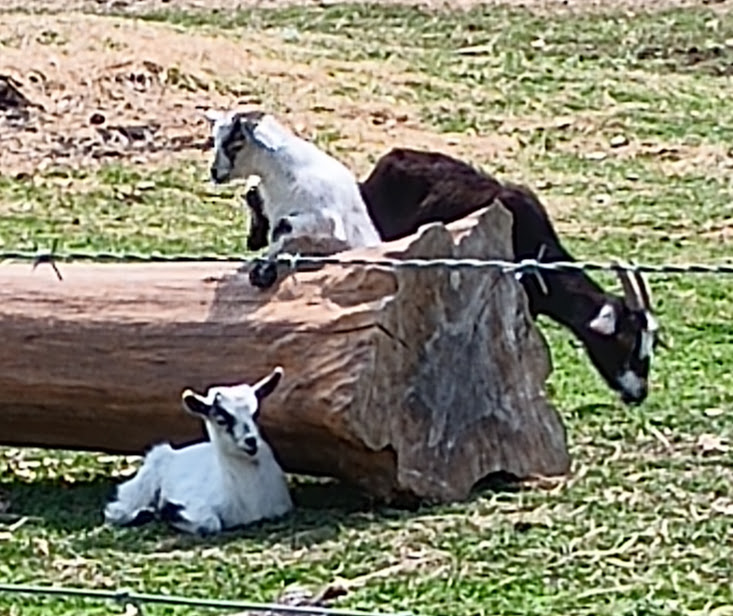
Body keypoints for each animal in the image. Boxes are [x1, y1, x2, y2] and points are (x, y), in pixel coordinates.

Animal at [103, 367, 293, 535]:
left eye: (255, 413)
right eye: (221, 420)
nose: (251, 441)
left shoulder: (281, 507)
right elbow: (210, 523)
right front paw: (165, 510)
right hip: (143, 484)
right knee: (117, 508)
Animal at [204, 109, 381, 288]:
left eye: (236, 145)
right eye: (215, 142)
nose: (214, 172)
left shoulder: (327, 222)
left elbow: (281, 228)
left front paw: (263, 272)